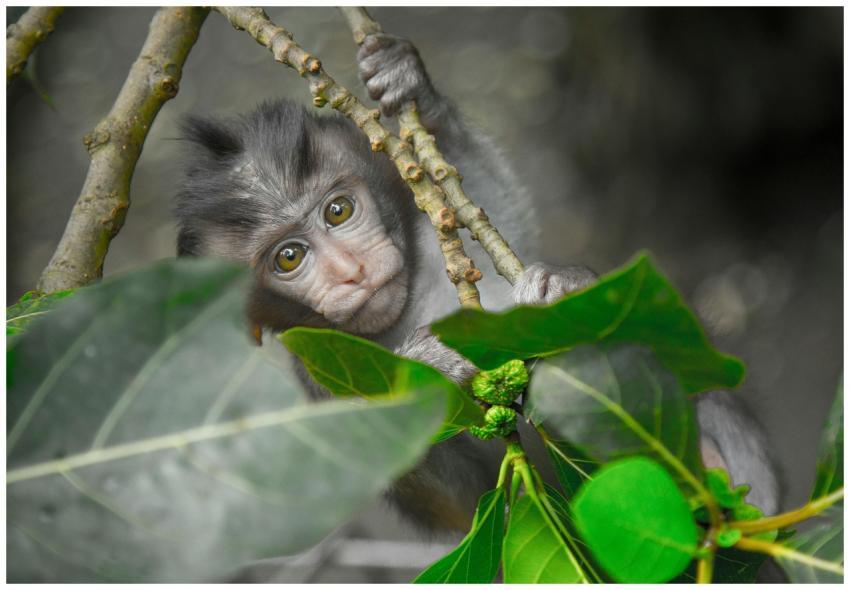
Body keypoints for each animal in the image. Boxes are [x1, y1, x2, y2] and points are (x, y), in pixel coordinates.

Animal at [174, 32, 780, 538]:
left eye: (339, 211)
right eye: (289, 257)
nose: (351, 270)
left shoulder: (430, 236)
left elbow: (487, 206)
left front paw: (409, 82)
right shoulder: (315, 379)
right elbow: (465, 505)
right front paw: (427, 368)